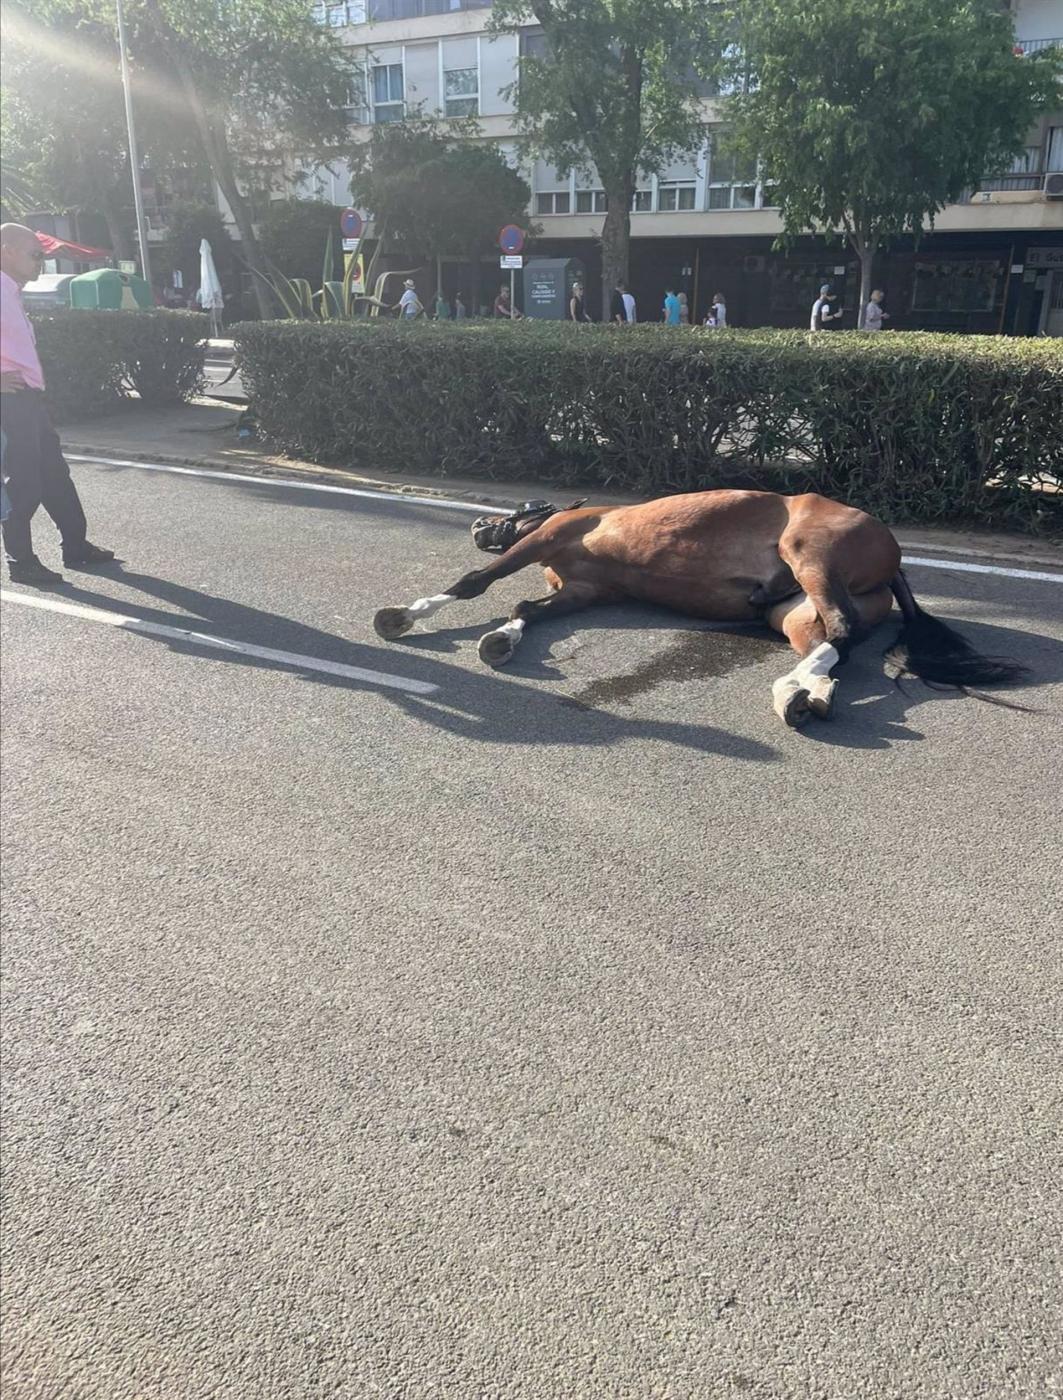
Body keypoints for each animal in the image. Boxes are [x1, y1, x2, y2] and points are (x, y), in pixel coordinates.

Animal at [372, 490, 1025, 728]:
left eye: (521, 509)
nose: (479, 525)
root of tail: (893, 557)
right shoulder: (586, 592)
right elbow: (528, 605)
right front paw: (503, 639)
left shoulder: (547, 539)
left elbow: (477, 583)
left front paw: (405, 615)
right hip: (793, 612)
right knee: (831, 643)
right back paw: (806, 693)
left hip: (809, 556)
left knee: (838, 632)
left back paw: (793, 692)